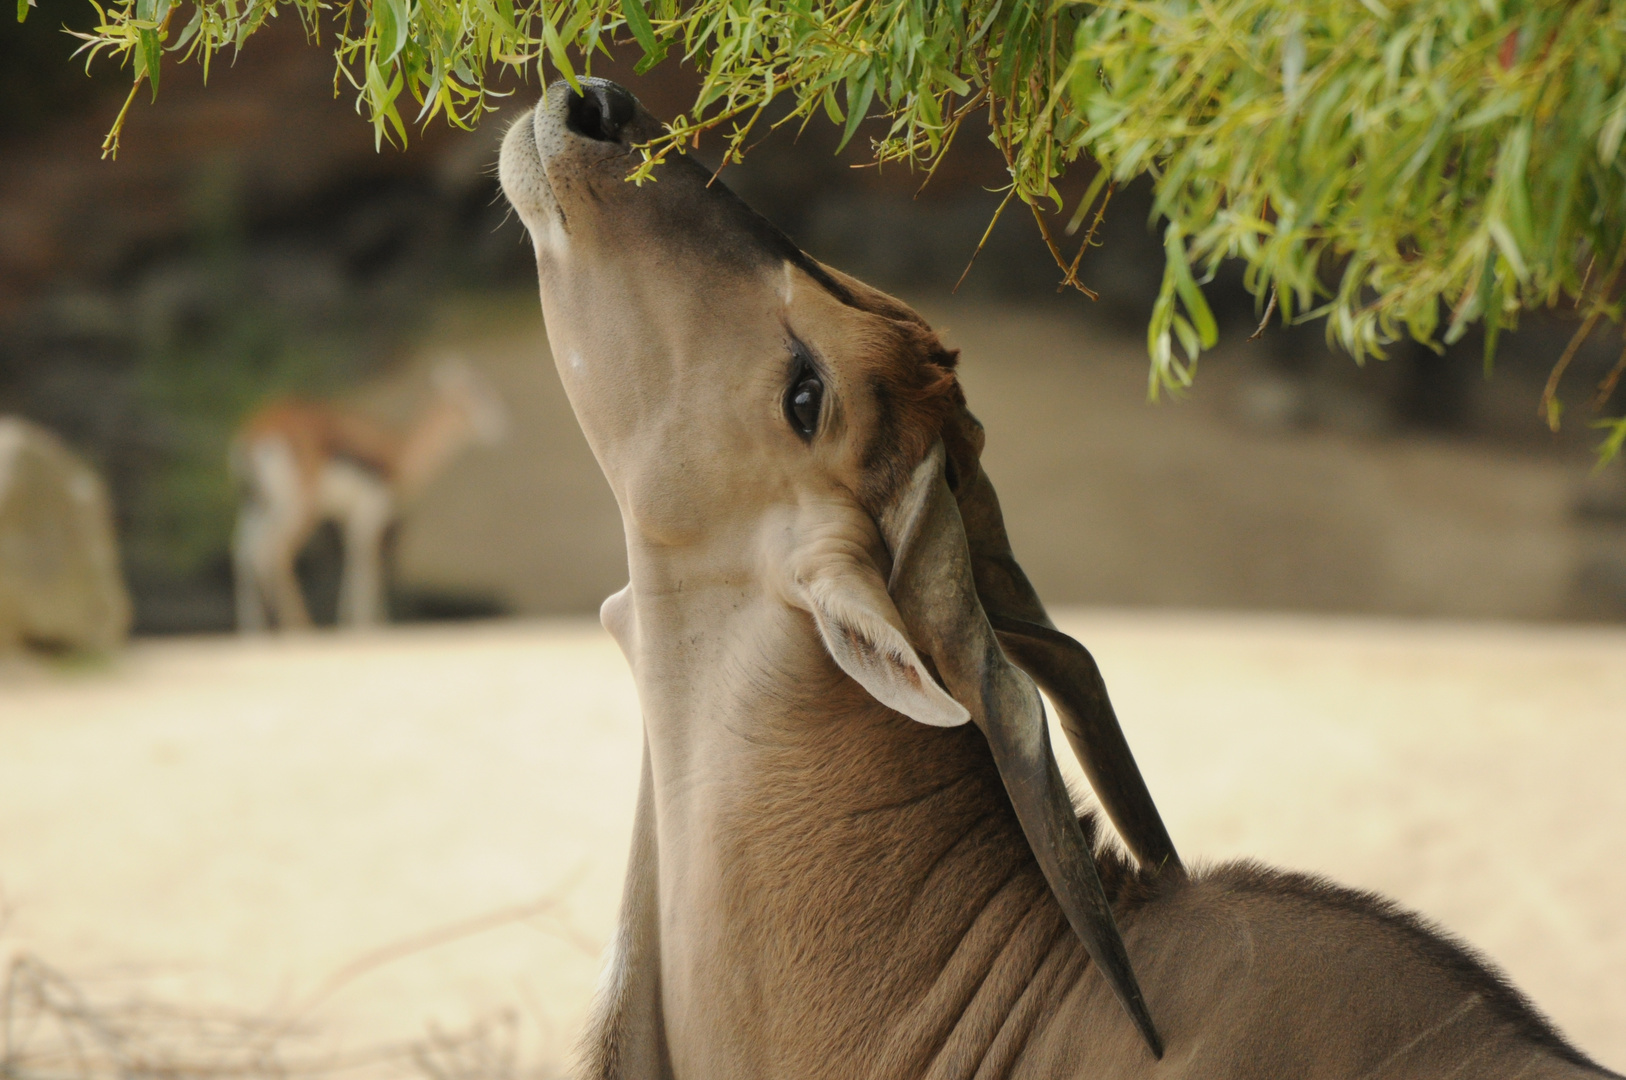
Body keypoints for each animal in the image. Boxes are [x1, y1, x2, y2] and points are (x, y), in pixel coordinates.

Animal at [229, 362, 504, 634]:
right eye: (477, 392)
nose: (501, 423)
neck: (399, 453)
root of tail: (257, 430)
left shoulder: (349, 519)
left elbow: (352, 561)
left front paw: (351, 625)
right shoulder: (371, 513)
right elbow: (366, 563)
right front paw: (366, 627)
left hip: (256, 504)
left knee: (246, 553)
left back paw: (255, 634)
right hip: (299, 508)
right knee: (273, 552)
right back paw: (298, 628)